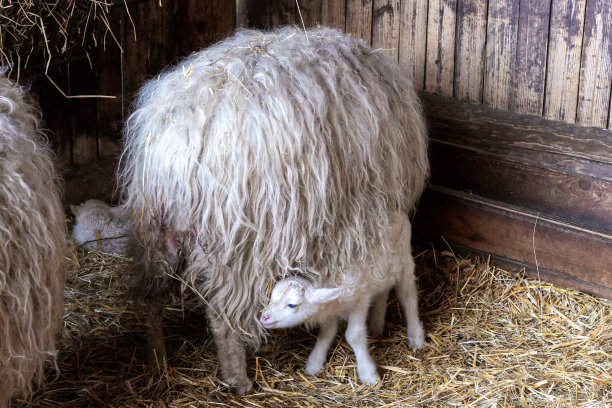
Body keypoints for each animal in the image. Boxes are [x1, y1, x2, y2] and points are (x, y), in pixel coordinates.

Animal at [260, 214, 426, 386]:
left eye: (292, 305)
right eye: (272, 297)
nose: (264, 318)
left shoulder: (360, 300)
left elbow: (354, 335)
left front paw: (368, 373)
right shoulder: (331, 309)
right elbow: (326, 333)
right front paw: (315, 363)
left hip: (405, 260)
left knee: (408, 297)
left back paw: (415, 336)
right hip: (383, 272)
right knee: (383, 291)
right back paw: (376, 324)